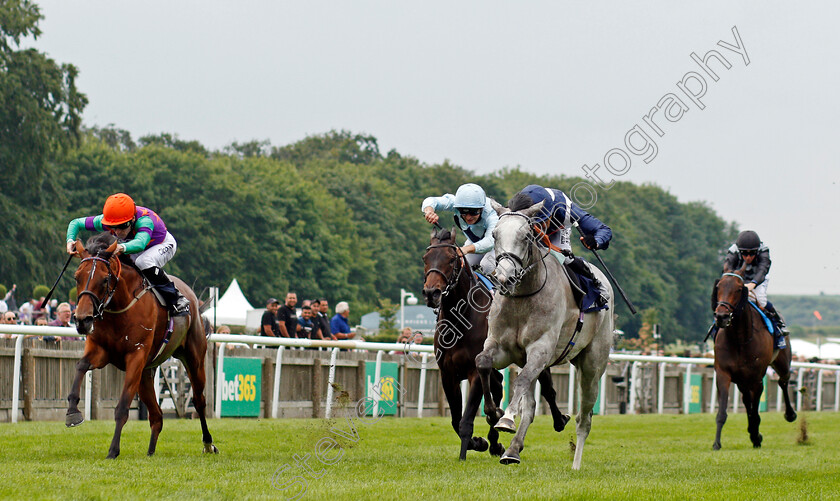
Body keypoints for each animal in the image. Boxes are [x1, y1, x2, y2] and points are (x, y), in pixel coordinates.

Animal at [67, 232, 217, 458]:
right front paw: (72, 412)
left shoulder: (136, 356)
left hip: (194, 359)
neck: (119, 308)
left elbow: (122, 407)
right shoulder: (100, 351)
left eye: (104, 279)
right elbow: (81, 366)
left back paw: (208, 444)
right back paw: (150, 453)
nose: (82, 320)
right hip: (146, 374)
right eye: (77, 277)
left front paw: (113, 450)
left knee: (199, 401)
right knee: (157, 415)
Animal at [420, 228, 572, 460]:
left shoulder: (474, 371)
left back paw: (559, 420)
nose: (431, 293)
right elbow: (456, 419)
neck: (460, 320)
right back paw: (494, 439)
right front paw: (479, 442)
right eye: (425, 258)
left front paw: (470, 447)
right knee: (499, 386)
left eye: (451, 259)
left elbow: (465, 420)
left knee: (547, 389)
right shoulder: (447, 373)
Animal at [476, 199, 612, 468]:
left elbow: (520, 382)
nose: (503, 278)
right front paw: (493, 412)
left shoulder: (540, 349)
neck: (522, 297)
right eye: (494, 235)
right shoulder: (502, 347)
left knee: (584, 418)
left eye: (526, 236)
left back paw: (576, 465)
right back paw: (512, 451)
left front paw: (506, 418)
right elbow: (483, 362)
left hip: (592, 366)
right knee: (530, 405)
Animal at [708, 264, 796, 452]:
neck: (739, 338)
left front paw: (756, 437)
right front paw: (717, 443)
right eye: (718, 287)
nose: (721, 316)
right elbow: (723, 412)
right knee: (746, 399)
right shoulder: (723, 373)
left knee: (783, 381)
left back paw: (790, 414)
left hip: (782, 363)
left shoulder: (757, 378)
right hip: (742, 380)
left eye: (738, 288)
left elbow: (755, 412)